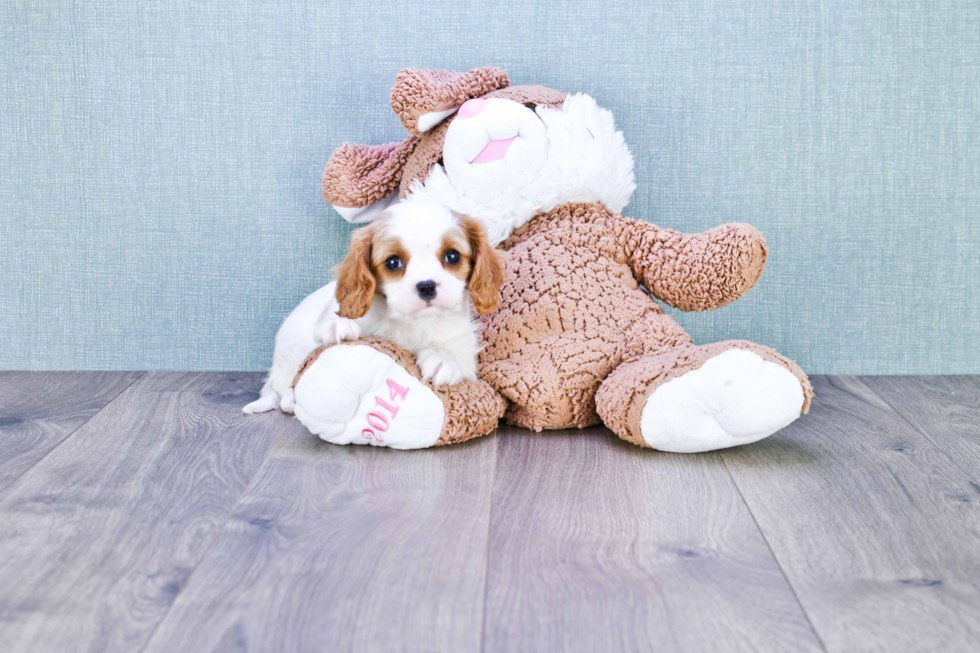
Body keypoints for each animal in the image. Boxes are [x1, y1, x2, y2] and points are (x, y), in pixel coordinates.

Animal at [244, 200, 506, 412]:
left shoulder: (463, 344)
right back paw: (289, 399)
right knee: (280, 386)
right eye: (393, 262)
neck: (410, 322)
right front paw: (339, 324)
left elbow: (454, 354)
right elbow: (336, 315)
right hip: (289, 352)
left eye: (452, 256)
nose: (427, 286)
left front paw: (444, 359)